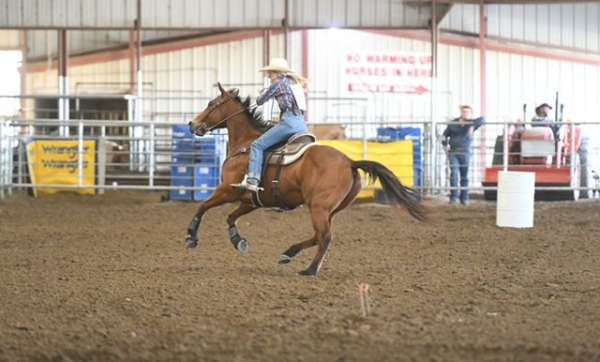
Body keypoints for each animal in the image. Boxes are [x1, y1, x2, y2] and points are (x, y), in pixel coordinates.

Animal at [185, 84, 424, 278]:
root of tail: (350, 162)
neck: (246, 144)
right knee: (318, 236)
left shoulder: (227, 190)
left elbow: (202, 206)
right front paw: (238, 241)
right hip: (329, 210)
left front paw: (191, 237)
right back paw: (288, 254)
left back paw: (310, 269)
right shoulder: (251, 201)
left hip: (318, 207)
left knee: (325, 237)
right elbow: (230, 217)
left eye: (212, 104)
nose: (191, 124)